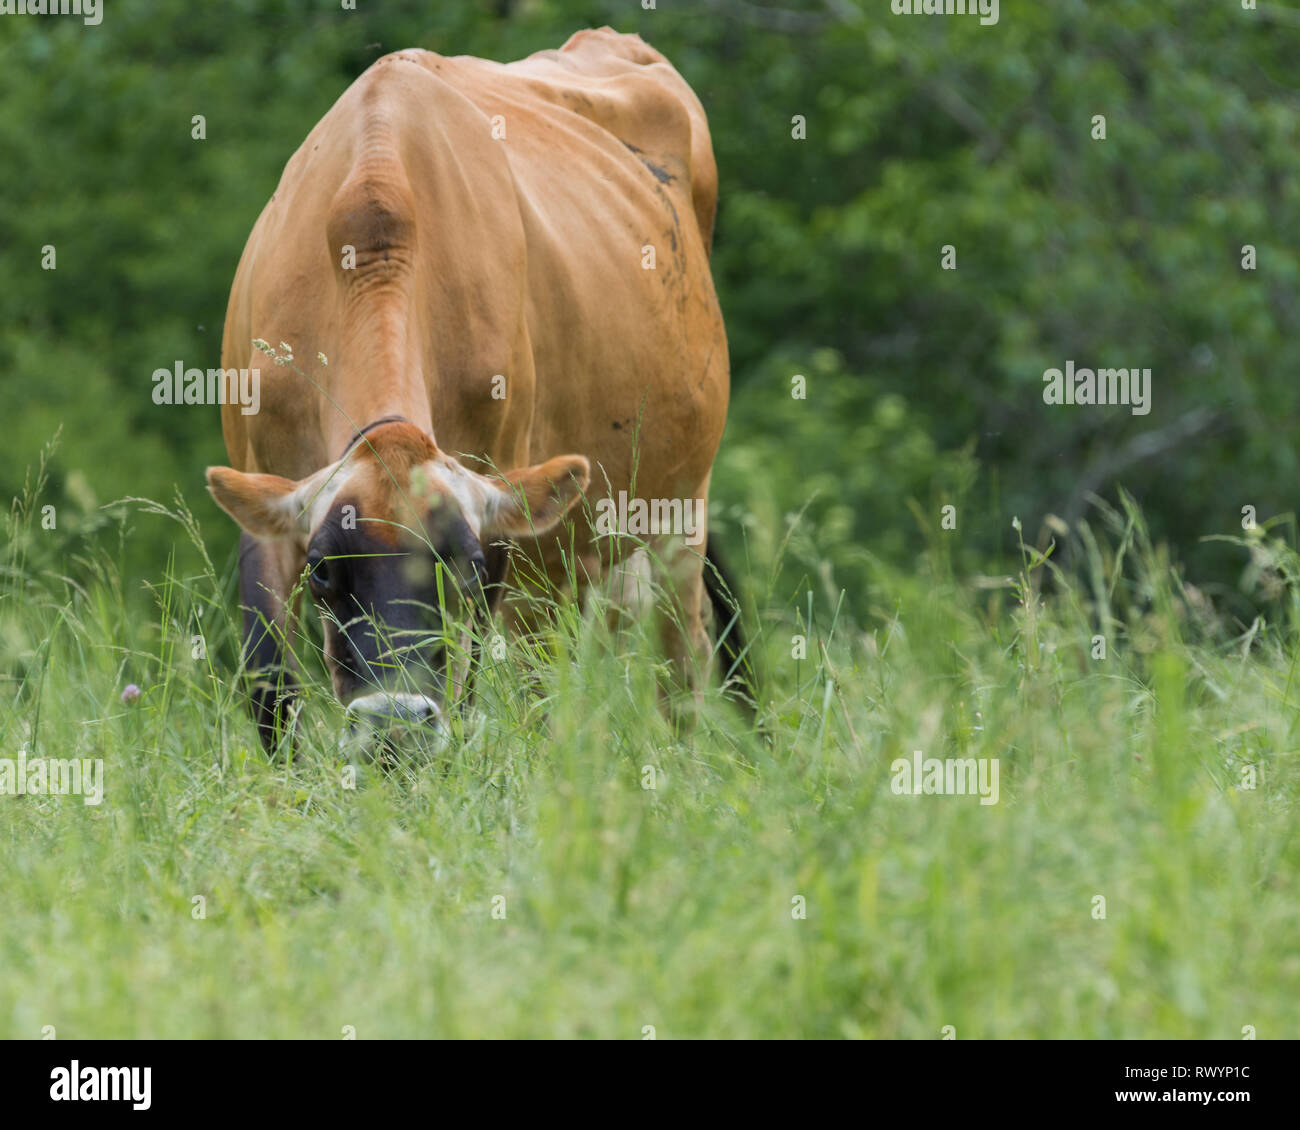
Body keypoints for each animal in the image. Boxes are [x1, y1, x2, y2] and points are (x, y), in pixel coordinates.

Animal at [206, 28, 736, 751]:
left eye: (463, 565)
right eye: (322, 569)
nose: (393, 725)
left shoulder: (500, 514)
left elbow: (471, 681)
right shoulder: (266, 500)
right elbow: (270, 690)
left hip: (680, 510)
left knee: (678, 675)